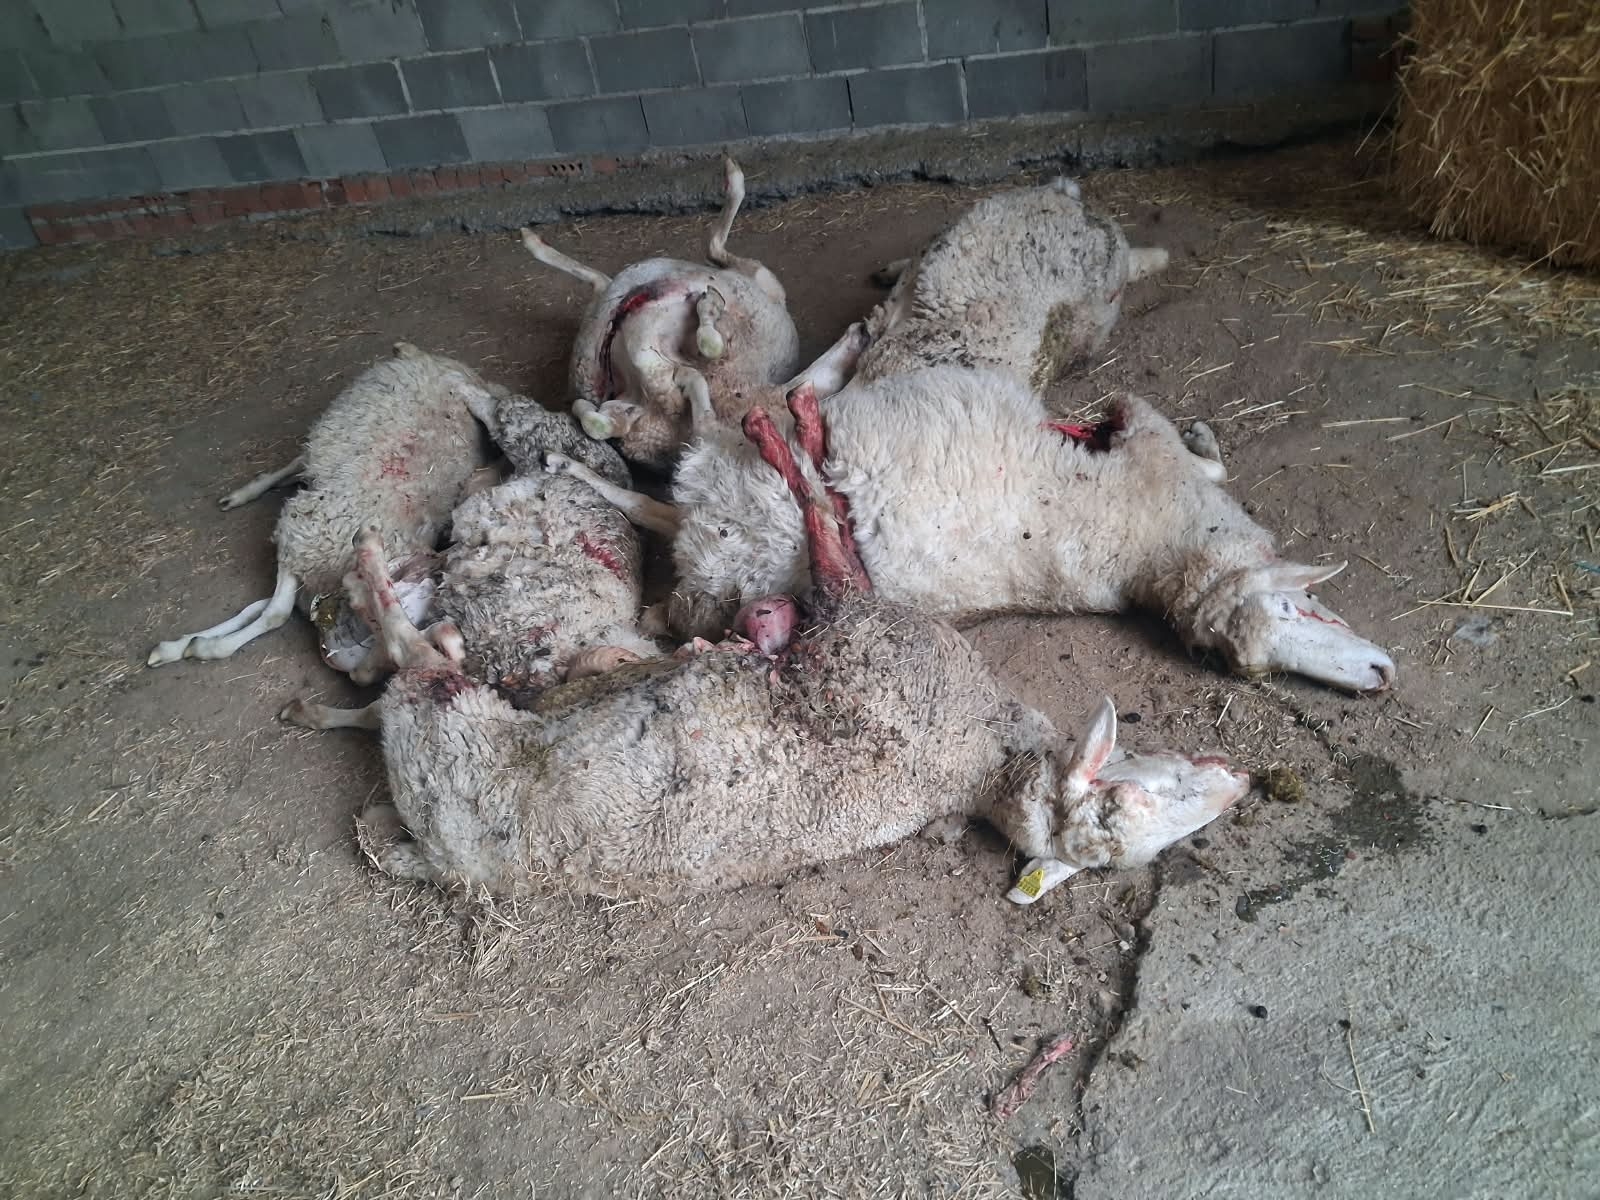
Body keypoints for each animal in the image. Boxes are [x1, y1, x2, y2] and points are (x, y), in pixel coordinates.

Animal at [146, 342, 495, 678]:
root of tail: (429, 357)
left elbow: (263, 609)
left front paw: (188, 646)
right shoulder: (300, 536)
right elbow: (274, 613)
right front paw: (198, 647)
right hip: (332, 439)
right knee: (297, 463)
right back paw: (244, 493)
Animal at [340, 391, 1248, 903]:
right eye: (1145, 794)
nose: (1235, 781)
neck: (982, 756)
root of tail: (437, 861)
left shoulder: (859, 625)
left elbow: (826, 515)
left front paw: (787, 434)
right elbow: (827, 515)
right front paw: (798, 431)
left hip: (447, 728)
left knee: (408, 664)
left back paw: (379, 572)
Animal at [555, 366, 1398, 694]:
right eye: (1293, 605)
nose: (1380, 676)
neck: (1160, 550)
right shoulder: (1143, 436)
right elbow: (1196, 453)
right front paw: (1202, 436)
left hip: (720, 516)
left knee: (678, 483)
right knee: (685, 463)